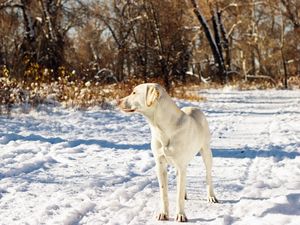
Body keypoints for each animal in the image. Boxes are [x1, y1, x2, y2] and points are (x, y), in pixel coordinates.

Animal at [117, 82, 218, 221]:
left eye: (134, 92)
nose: (117, 101)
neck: (162, 128)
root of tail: (194, 107)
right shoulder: (160, 165)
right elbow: (164, 193)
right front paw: (163, 213)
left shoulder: (181, 165)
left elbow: (178, 196)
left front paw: (181, 215)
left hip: (206, 152)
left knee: (208, 175)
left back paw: (211, 196)